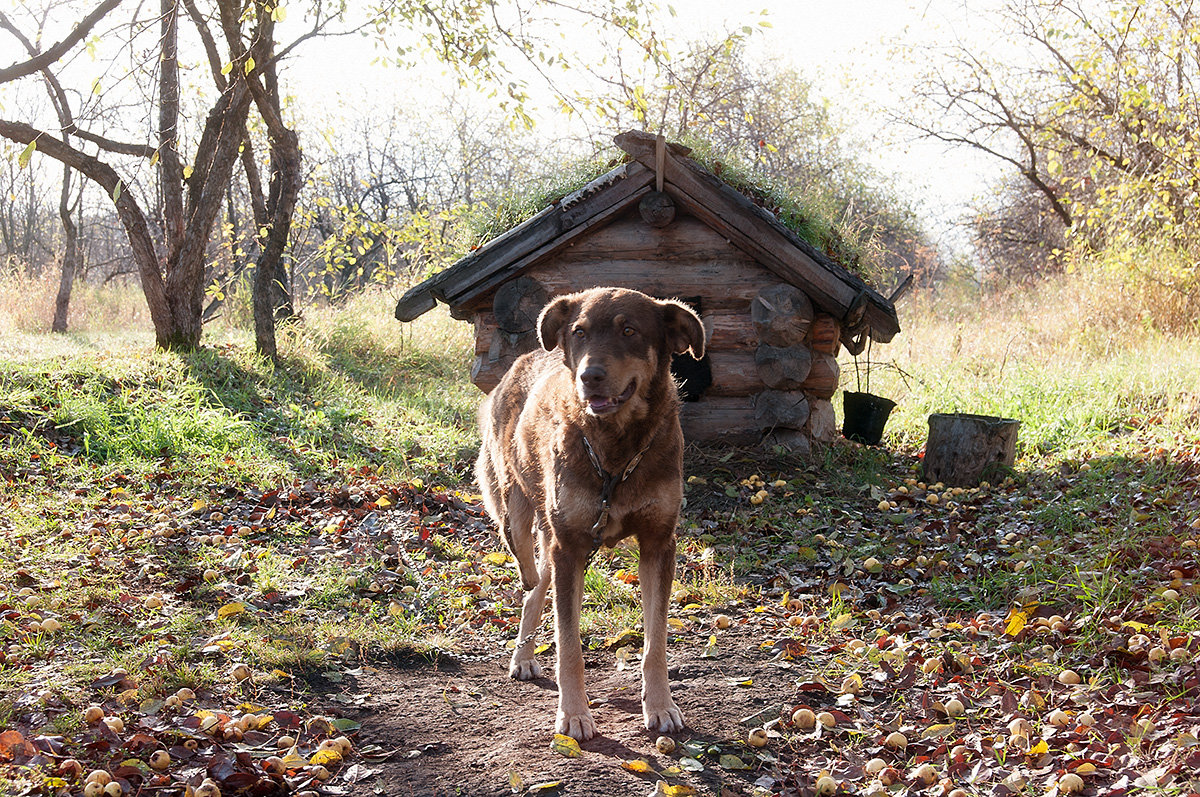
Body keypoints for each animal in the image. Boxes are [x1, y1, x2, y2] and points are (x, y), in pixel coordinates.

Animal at [475, 286, 705, 739]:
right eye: (579, 332)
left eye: (629, 330)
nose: (589, 376)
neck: (616, 450)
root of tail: (521, 361)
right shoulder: (570, 548)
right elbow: (569, 645)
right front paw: (574, 714)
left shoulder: (658, 544)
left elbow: (655, 641)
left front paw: (660, 705)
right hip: (523, 526)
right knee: (531, 585)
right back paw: (523, 655)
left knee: (537, 587)